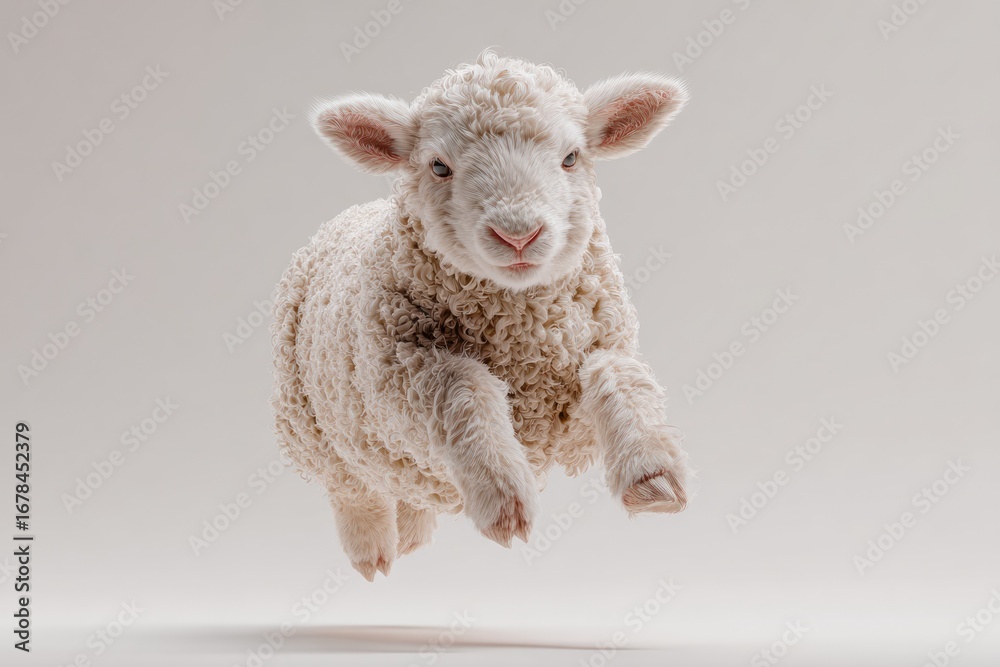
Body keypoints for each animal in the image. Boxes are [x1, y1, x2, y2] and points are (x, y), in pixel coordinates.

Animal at [271, 51, 692, 580]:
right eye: (438, 165)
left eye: (571, 158)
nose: (518, 234)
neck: (520, 331)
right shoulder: (399, 371)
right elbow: (464, 388)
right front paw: (502, 496)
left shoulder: (580, 379)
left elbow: (615, 373)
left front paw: (652, 472)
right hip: (314, 427)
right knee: (354, 489)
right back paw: (373, 551)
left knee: (408, 489)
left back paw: (411, 538)